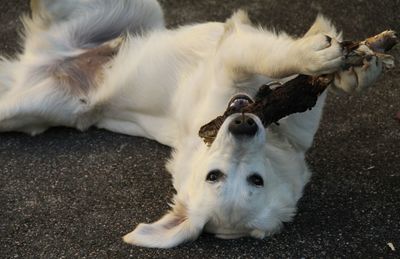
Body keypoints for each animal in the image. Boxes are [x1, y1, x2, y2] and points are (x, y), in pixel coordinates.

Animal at [0, 0, 384, 249]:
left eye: (255, 180)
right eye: (214, 176)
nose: (243, 124)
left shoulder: (298, 123)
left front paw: (355, 69)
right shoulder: (232, 61)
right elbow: (276, 58)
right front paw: (320, 55)